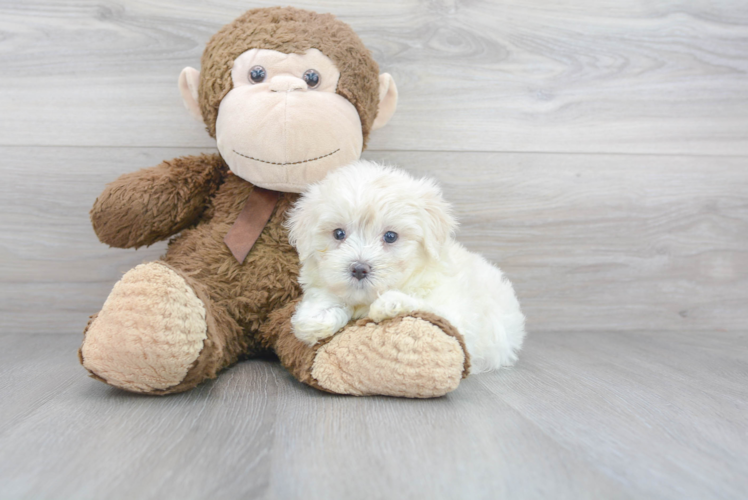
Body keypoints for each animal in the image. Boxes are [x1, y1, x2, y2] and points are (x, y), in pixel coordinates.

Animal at [286, 162, 524, 374]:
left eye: (391, 236)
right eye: (338, 234)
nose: (359, 269)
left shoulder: (457, 315)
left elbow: (431, 309)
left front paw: (391, 303)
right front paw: (316, 318)